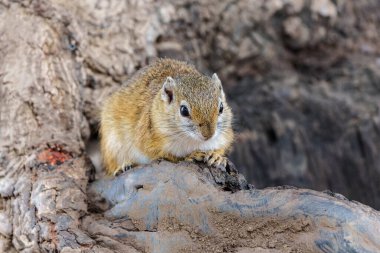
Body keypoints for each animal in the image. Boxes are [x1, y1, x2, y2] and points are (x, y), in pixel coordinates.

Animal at [99, 58, 233, 175]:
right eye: (184, 110)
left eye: (221, 107)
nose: (209, 134)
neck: (192, 140)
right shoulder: (148, 141)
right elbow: (168, 156)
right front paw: (191, 155)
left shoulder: (224, 137)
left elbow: (221, 147)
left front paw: (217, 156)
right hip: (112, 146)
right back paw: (123, 166)